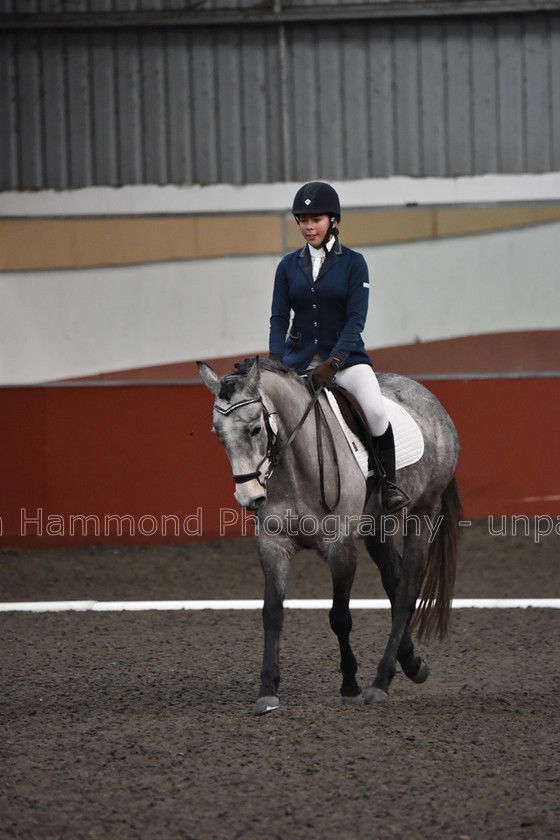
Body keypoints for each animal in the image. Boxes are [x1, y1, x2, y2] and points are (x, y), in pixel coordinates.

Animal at [197, 356, 460, 716]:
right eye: (218, 434)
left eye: (254, 429)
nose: (249, 498)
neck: (295, 465)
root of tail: (430, 399)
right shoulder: (273, 544)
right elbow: (272, 613)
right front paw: (267, 690)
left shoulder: (341, 548)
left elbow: (340, 617)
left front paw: (349, 685)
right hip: (376, 527)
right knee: (394, 582)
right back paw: (411, 664)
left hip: (423, 512)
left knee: (407, 589)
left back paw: (380, 682)